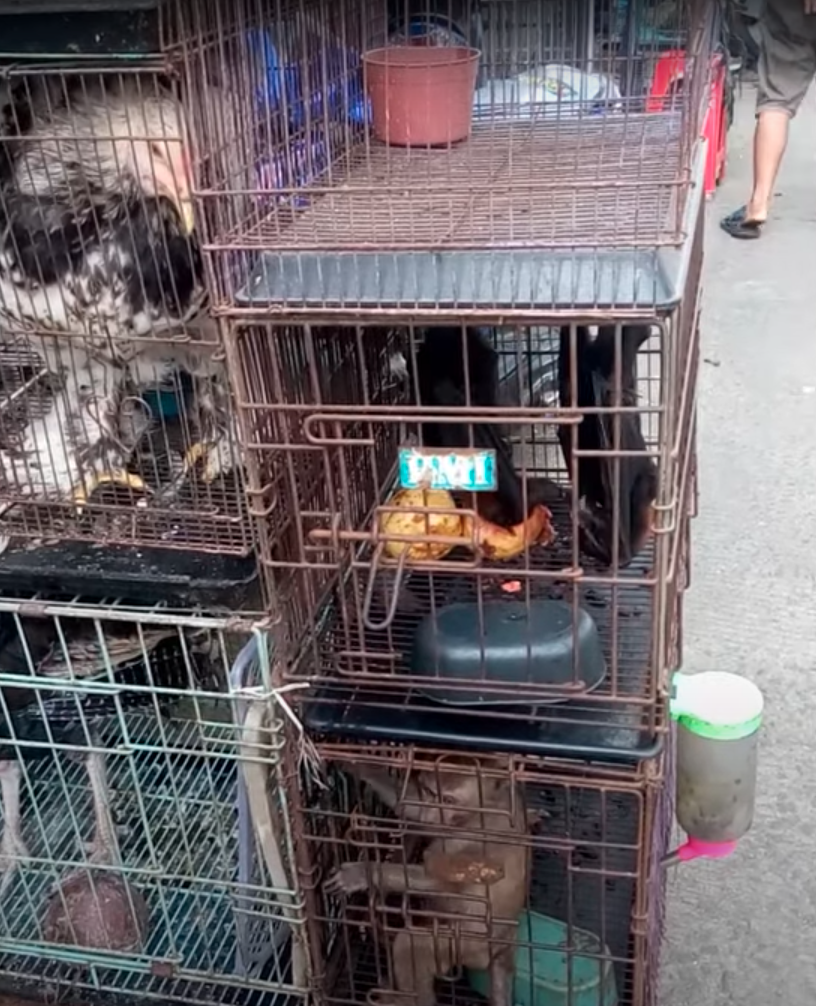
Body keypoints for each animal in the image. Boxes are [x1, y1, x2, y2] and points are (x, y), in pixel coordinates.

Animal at [325, 760, 531, 1006]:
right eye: (431, 792)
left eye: (448, 800)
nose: (431, 815)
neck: (487, 807)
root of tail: (504, 944)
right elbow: (409, 806)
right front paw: (358, 766)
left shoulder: (478, 836)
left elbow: (441, 881)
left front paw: (361, 873)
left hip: (468, 947)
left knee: (408, 945)